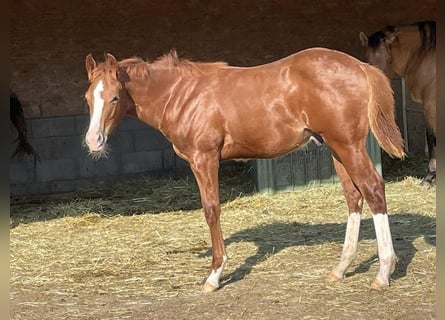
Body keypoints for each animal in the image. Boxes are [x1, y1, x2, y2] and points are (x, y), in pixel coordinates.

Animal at [81, 48, 404, 292]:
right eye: (88, 98)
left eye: (114, 97)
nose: (94, 141)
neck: (182, 95)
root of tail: (361, 66)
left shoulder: (204, 159)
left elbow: (211, 209)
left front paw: (213, 275)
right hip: (336, 148)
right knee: (354, 196)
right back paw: (340, 268)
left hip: (348, 145)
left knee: (373, 188)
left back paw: (383, 272)